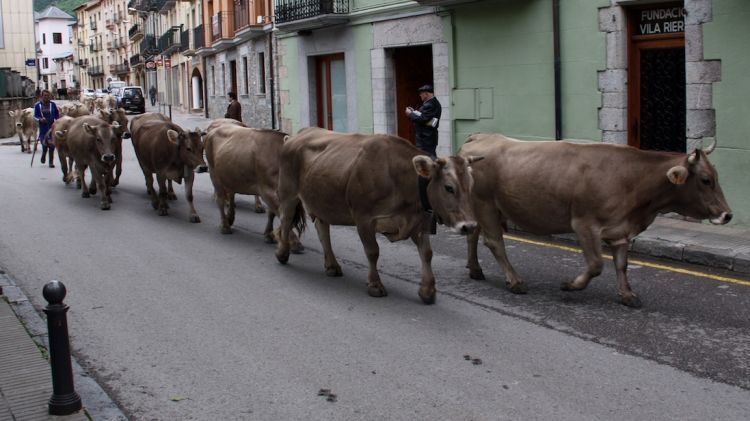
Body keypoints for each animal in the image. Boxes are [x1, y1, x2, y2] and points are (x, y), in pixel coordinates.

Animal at [278, 126, 482, 304]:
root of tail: (297, 135)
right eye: (449, 188)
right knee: (286, 221)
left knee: (322, 230)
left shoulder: (418, 222)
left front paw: (428, 290)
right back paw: (282, 252)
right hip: (288, 193)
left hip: (322, 201)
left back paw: (332, 265)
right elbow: (372, 251)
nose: (470, 226)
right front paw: (375, 285)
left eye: (471, 185)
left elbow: (427, 254)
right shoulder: (364, 218)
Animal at [462, 133, 732, 306]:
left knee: (473, 235)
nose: (727, 214)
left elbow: (621, 265)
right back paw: (515, 281)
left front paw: (627, 295)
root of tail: (480, 136)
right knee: (494, 242)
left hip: (483, 207)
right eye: (706, 180)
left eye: (717, 175)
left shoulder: (621, 229)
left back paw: (475, 269)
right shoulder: (585, 224)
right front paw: (571, 285)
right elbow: (596, 265)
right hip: (485, 204)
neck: (632, 180)